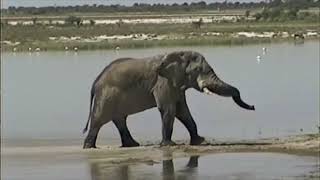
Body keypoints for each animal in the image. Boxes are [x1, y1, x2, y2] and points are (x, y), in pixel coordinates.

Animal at [83, 50, 255, 148]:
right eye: (198, 70)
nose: (253, 107)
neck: (179, 54)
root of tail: (95, 82)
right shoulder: (163, 82)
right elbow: (169, 109)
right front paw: (168, 145)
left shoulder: (176, 84)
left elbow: (182, 111)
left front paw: (200, 141)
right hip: (106, 96)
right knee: (98, 121)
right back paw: (89, 148)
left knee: (120, 120)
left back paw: (132, 145)